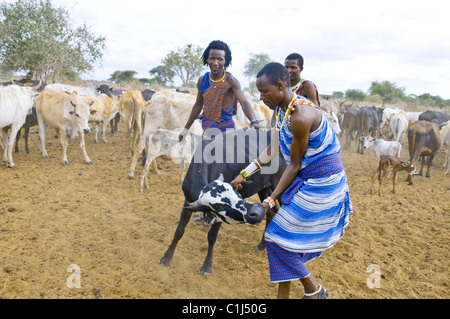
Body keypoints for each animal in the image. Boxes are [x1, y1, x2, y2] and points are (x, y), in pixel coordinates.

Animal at [157, 129, 284, 276]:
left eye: (238, 194)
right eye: (217, 205)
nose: (256, 212)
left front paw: (206, 266)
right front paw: (166, 257)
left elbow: (211, 237)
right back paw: (262, 244)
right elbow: (179, 230)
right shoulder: (188, 201)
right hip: (263, 188)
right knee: (271, 212)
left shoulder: (218, 218)